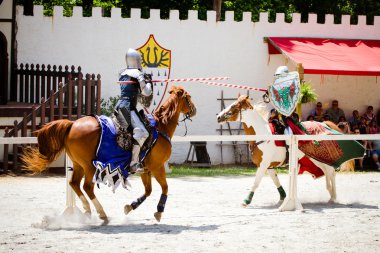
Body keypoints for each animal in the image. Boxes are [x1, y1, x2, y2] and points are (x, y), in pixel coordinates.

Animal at [21, 86, 196, 222]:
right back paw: (101, 213)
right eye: (188, 97)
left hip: (78, 165)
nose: (194, 109)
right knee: (87, 187)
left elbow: (148, 191)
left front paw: (129, 207)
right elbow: (165, 188)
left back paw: (87, 210)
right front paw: (159, 211)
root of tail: (72, 124)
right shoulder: (157, 167)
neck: (161, 127)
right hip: (89, 166)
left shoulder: (145, 170)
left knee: (74, 183)